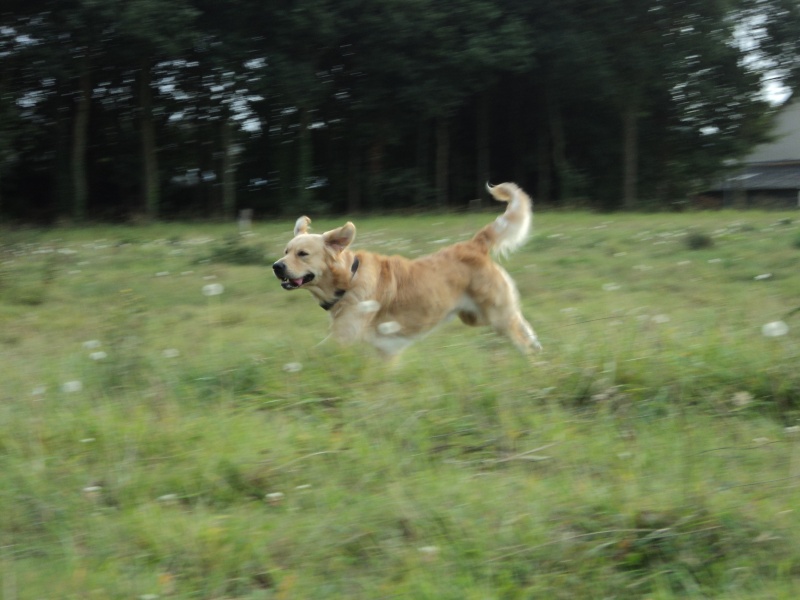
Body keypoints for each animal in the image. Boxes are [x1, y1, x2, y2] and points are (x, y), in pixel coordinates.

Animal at [272, 183, 540, 358]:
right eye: (285, 251)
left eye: (302, 254)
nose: (276, 266)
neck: (349, 279)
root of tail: (473, 244)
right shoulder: (380, 348)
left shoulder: (344, 336)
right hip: (476, 316)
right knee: (521, 322)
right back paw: (537, 345)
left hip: (495, 316)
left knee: (518, 334)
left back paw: (533, 361)